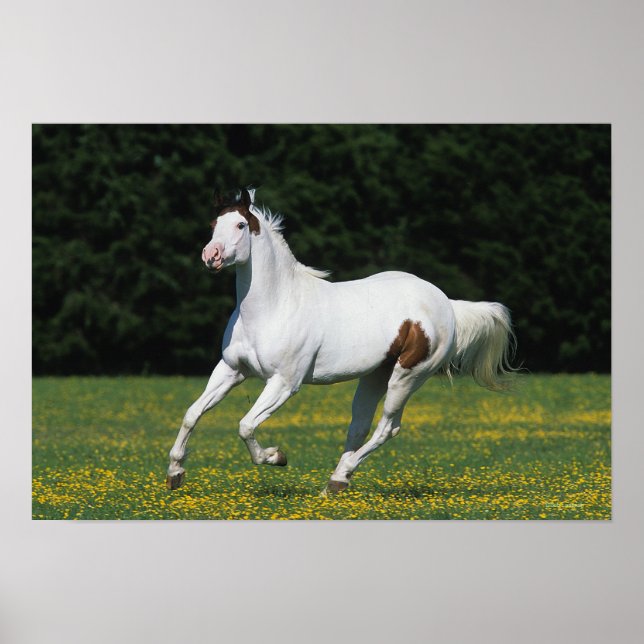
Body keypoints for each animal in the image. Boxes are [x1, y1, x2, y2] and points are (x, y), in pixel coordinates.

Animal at [166, 188, 515, 494]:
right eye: (213, 225)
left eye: (240, 224)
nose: (211, 256)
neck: (274, 307)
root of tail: (446, 303)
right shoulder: (231, 370)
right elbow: (192, 413)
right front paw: (175, 473)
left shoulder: (284, 383)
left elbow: (246, 425)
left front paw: (277, 457)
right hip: (376, 375)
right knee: (359, 426)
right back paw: (337, 481)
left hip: (408, 376)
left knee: (388, 427)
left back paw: (340, 476)